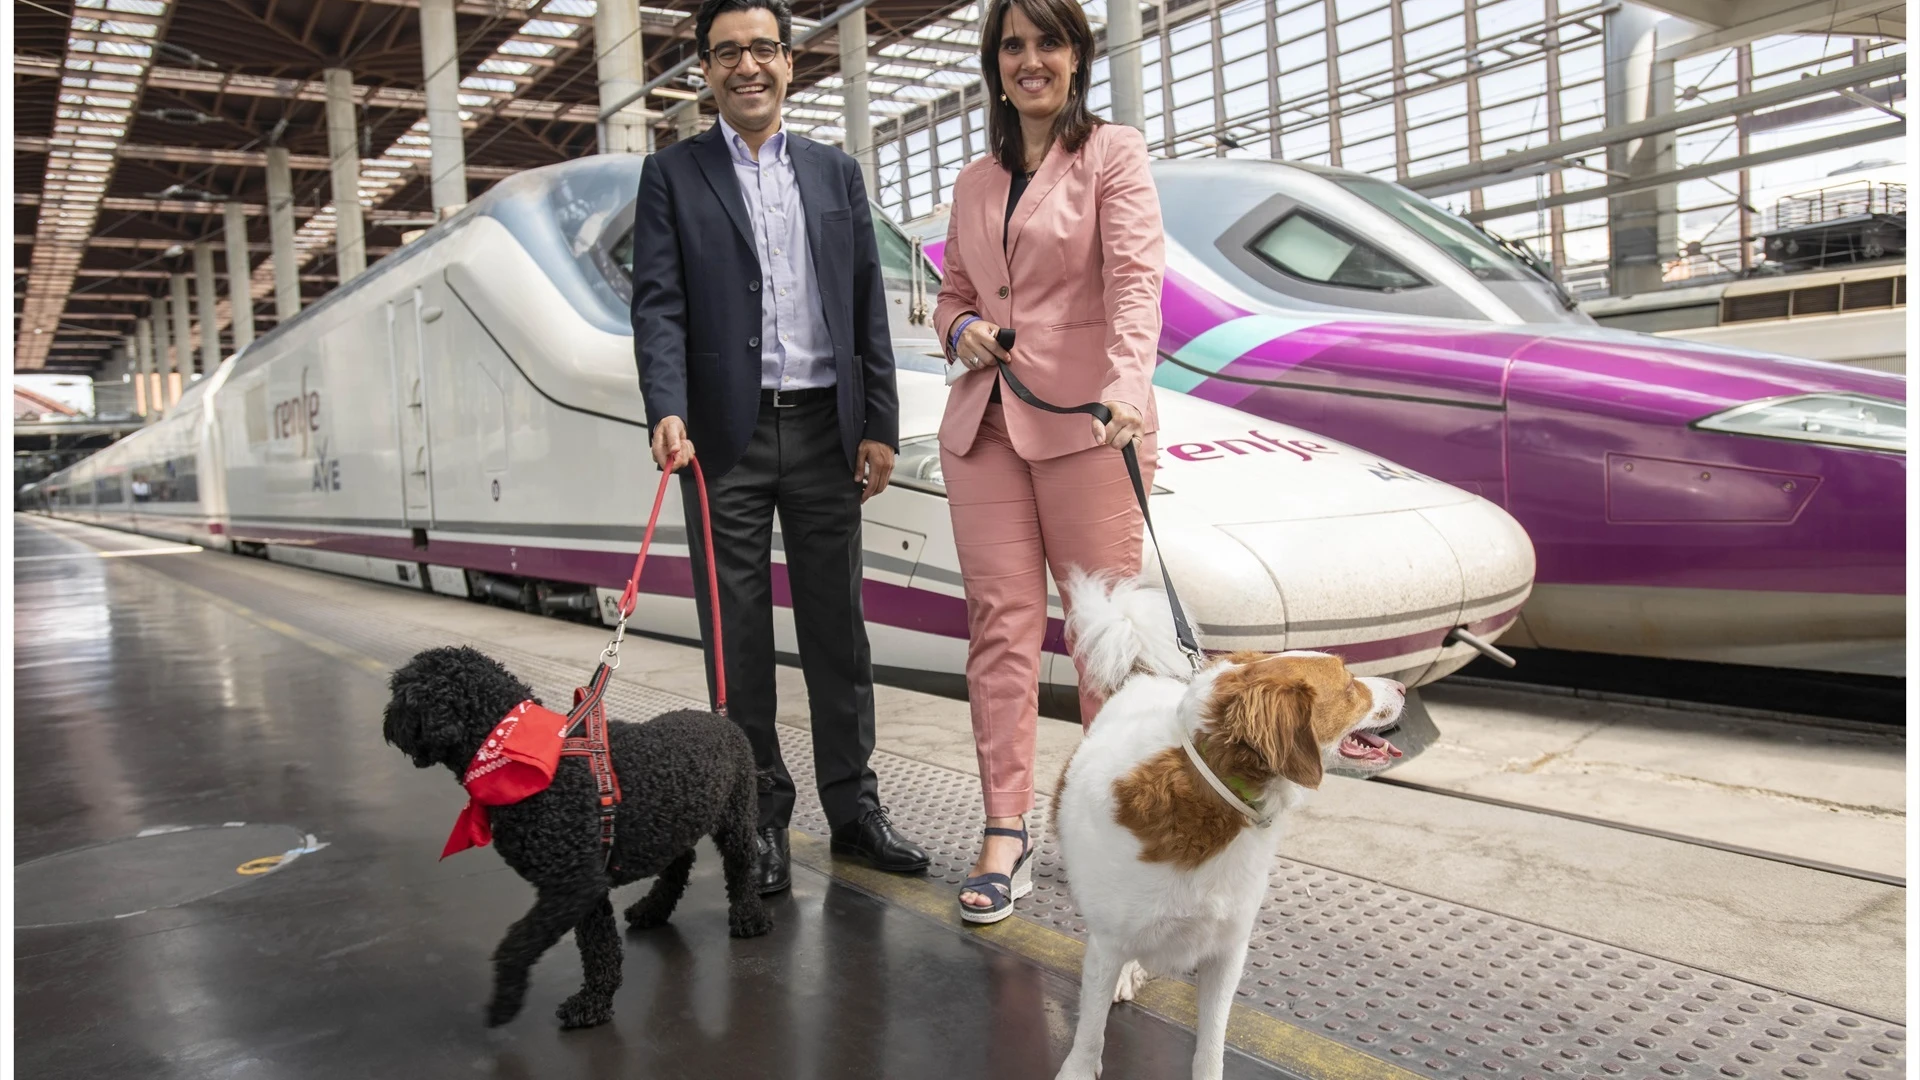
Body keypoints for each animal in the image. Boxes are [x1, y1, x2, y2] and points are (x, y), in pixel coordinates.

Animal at [382, 638, 771, 1022]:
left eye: (401, 693)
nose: (387, 723)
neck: (510, 750)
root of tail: (721, 719)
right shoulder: (585, 886)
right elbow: (598, 945)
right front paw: (594, 1000)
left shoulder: (573, 885)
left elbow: (519, 942)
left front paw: (510, 999)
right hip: (672, 825)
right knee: (680, 862)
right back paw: (652, 909)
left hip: (735, 819)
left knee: (740, 869)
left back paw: (749, 917)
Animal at [1059, 568, 1405, 1068]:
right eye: (1348, 685)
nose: (1403, 688)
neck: (1214, 796)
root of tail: (1144, 676)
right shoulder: (1107, 940)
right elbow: (1090, 1034)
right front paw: (1080, 1065)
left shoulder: (1227, 947)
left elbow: (1212, 1043)